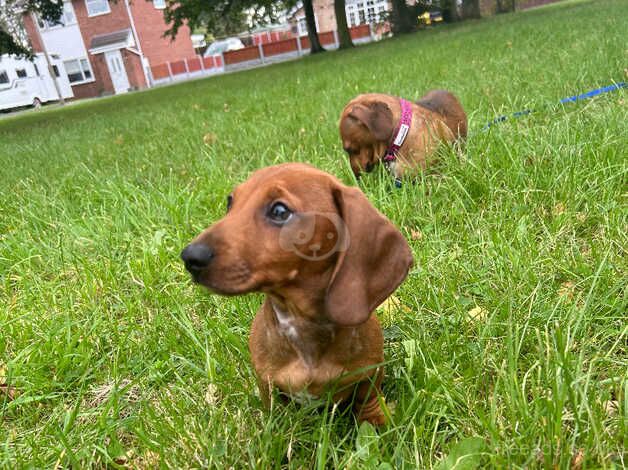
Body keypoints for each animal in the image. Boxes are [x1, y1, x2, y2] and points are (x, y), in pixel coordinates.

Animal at [179, 163, 412, 424]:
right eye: (230, 203)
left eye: (280, 211)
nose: (190, 257)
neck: (302, 321)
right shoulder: (267, 383)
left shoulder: (370, 373)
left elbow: (368, 402)